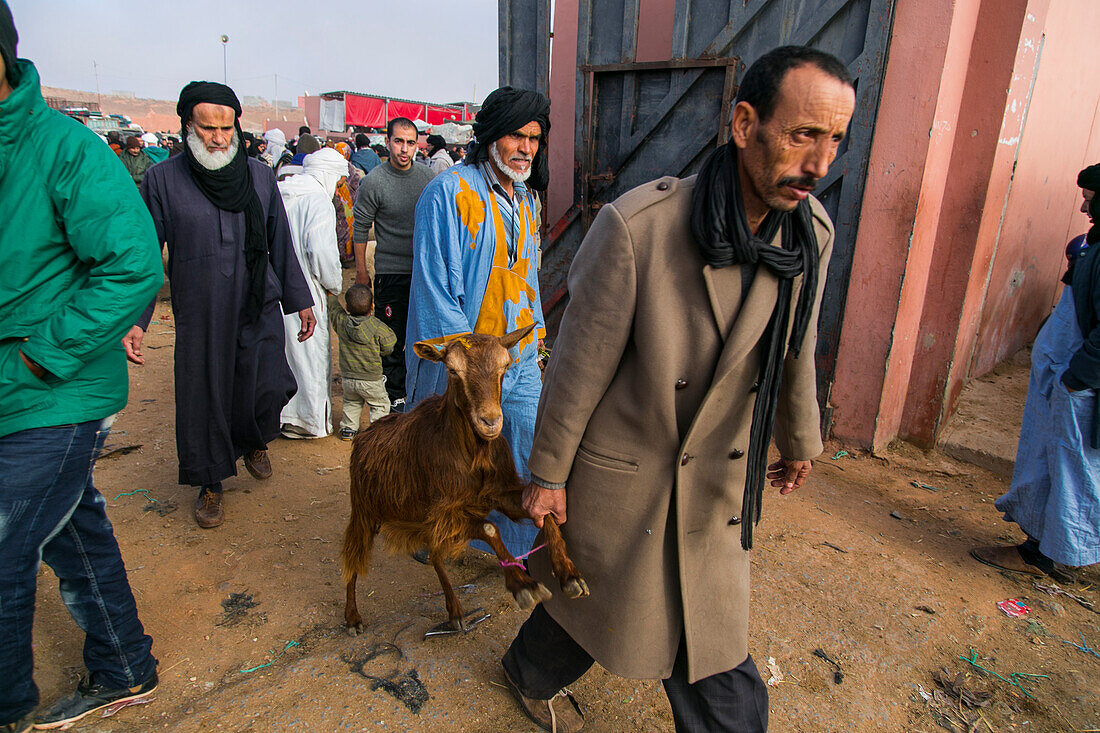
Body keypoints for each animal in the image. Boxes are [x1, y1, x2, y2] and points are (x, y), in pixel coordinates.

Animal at [343, 323, 589, 638]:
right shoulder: (446, 512)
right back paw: (352, 618)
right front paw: (524, 586)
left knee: (435, 556)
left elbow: (543, 513)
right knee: (353, 557)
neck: (473, 455)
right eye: (451, 370)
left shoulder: (496, 494)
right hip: (363, 510)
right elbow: (490, 527)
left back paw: (456, 613)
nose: (490, 422)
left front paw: (570, 575)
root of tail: (363, 435)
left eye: (505, 366)